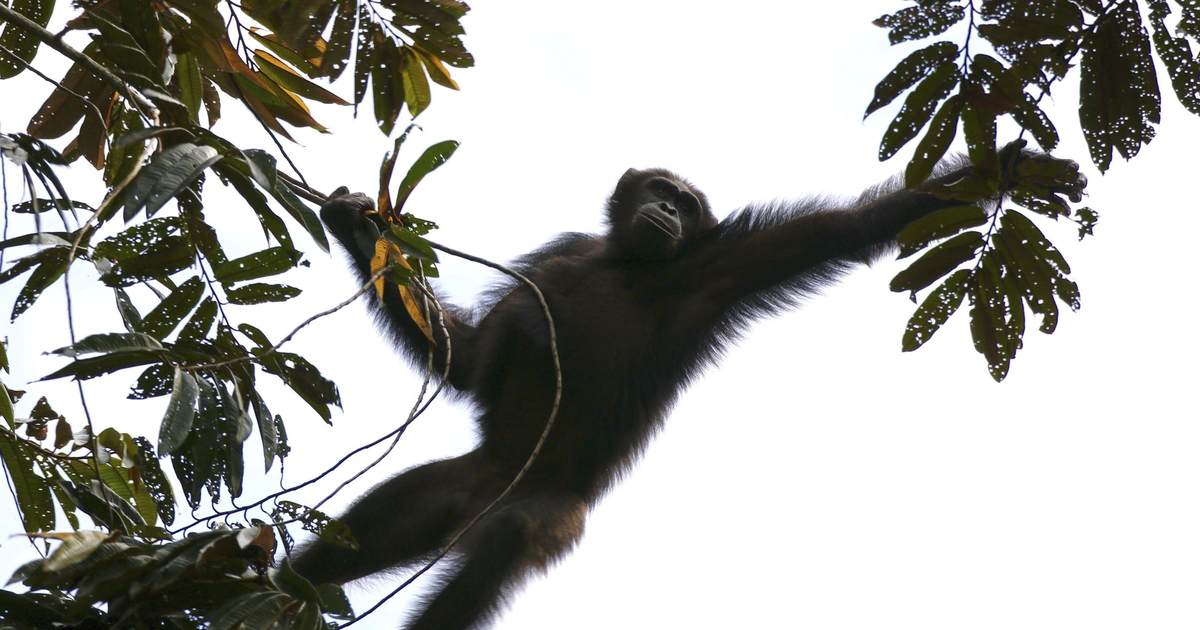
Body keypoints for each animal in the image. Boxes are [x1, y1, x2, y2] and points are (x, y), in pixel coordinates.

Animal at [293, 154, 1083, 629]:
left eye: (687, 203)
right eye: (659, 191)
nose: (671, 211)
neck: (628, 266)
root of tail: (481, 499)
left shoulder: (725, 266)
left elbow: (850, 229)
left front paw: (1021, 166)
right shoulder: (557, 255)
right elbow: (468, 360)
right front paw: (357, 224)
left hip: (547, 513)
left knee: (503, 542)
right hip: (447, 492)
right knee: (352, 537)